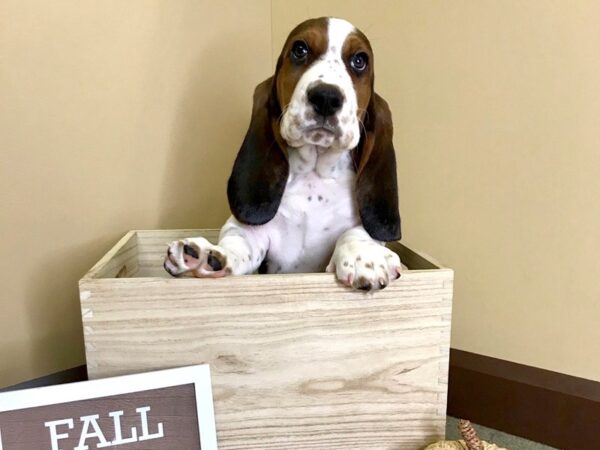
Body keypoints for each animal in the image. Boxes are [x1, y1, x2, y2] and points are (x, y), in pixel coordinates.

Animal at [163, 16, 404, 292]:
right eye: (299, 50)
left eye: (359, 60)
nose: (326, 97)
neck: (314, 174)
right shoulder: (255, 233)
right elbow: (238, 242)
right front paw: (208, 255)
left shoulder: (360, 224)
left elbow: (359, 231)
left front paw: (362, 256)